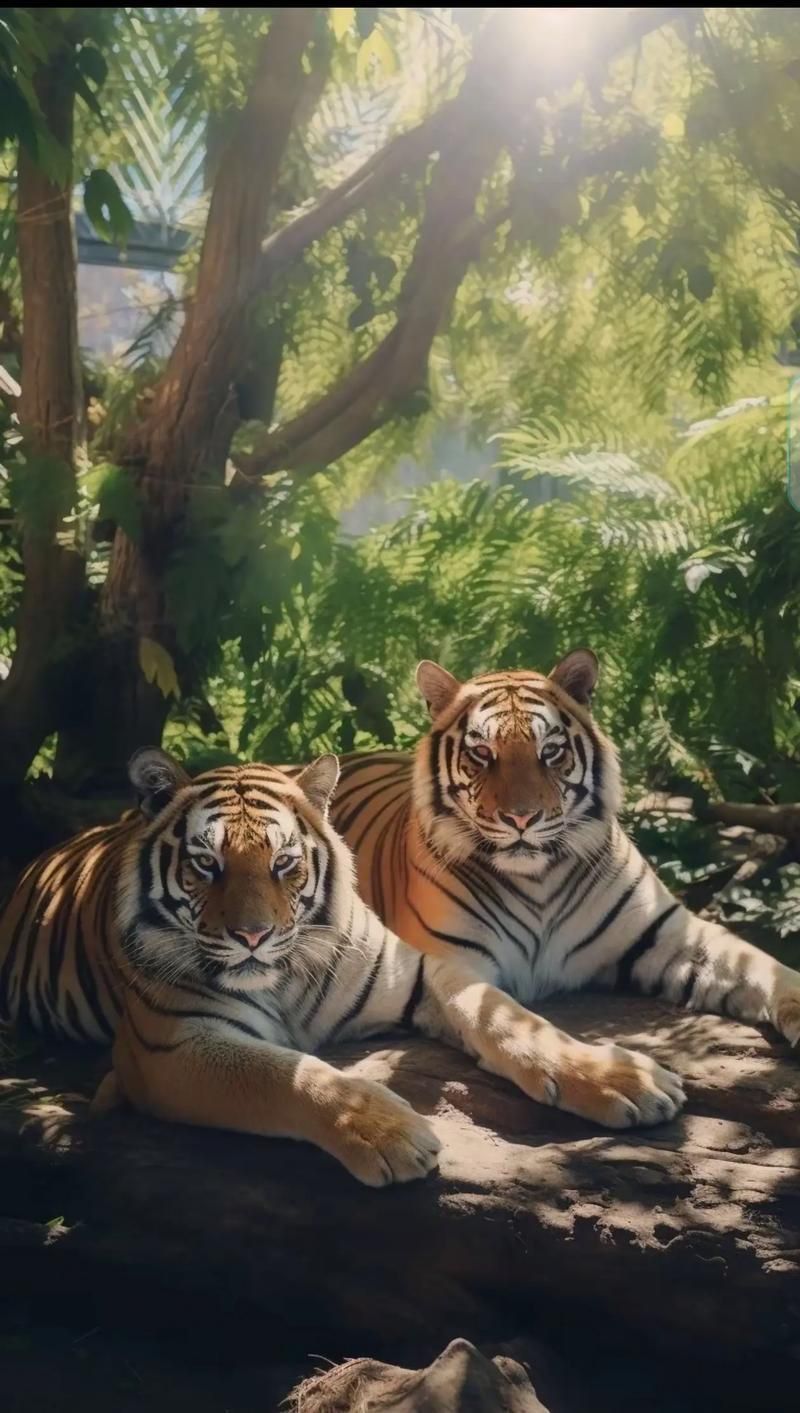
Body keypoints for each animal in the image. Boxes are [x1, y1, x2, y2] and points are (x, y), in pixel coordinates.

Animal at [328, 648, 800, 1127]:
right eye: (481, 752)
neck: (538, 879)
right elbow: (513, 1024)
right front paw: (622, 1081)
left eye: (550, 752)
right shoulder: (451, 961)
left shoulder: (670, 933)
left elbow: (767, 967)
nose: (521, 818)